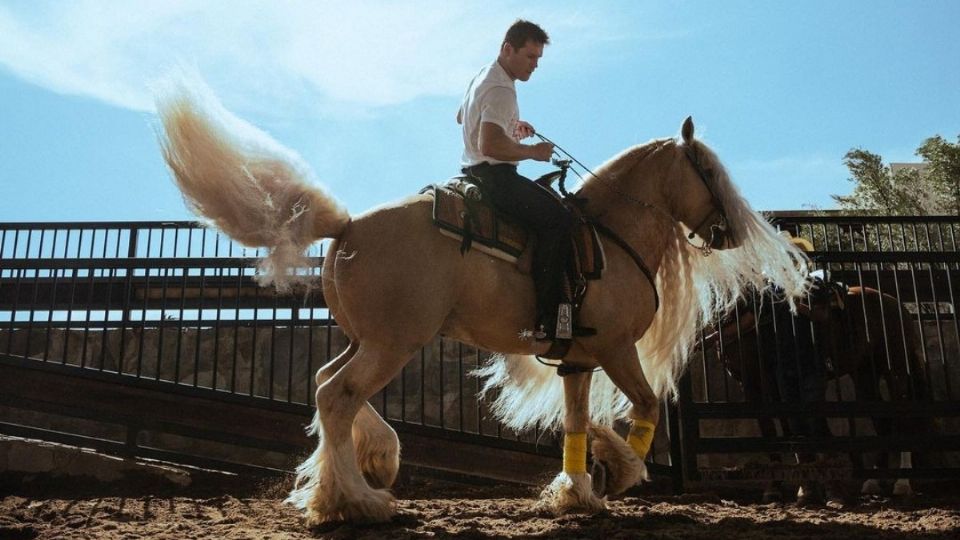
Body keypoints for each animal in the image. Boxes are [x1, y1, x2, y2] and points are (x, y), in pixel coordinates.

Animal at [156, 74, 808, 524]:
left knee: (322, 383)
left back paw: (371, 467)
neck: (612, 234)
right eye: (707, 170)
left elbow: (577, 422)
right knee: (337, 396)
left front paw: (578, 493)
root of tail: (347, 227)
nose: (730, 231)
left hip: (369, 339)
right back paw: (359, 502)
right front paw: (622, 474)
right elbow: (646, 405)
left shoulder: (576, 360)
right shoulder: (617, 349)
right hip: (395, 343)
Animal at [708, 280, 932, 504]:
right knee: (883, 423)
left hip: (896, 370)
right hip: (865, 375)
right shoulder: (750, 384)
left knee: (902, 420)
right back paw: (873, 482)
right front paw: (777, 488)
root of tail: (897, 305)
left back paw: (902, 483)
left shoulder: (770, 381)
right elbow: (771, 432)